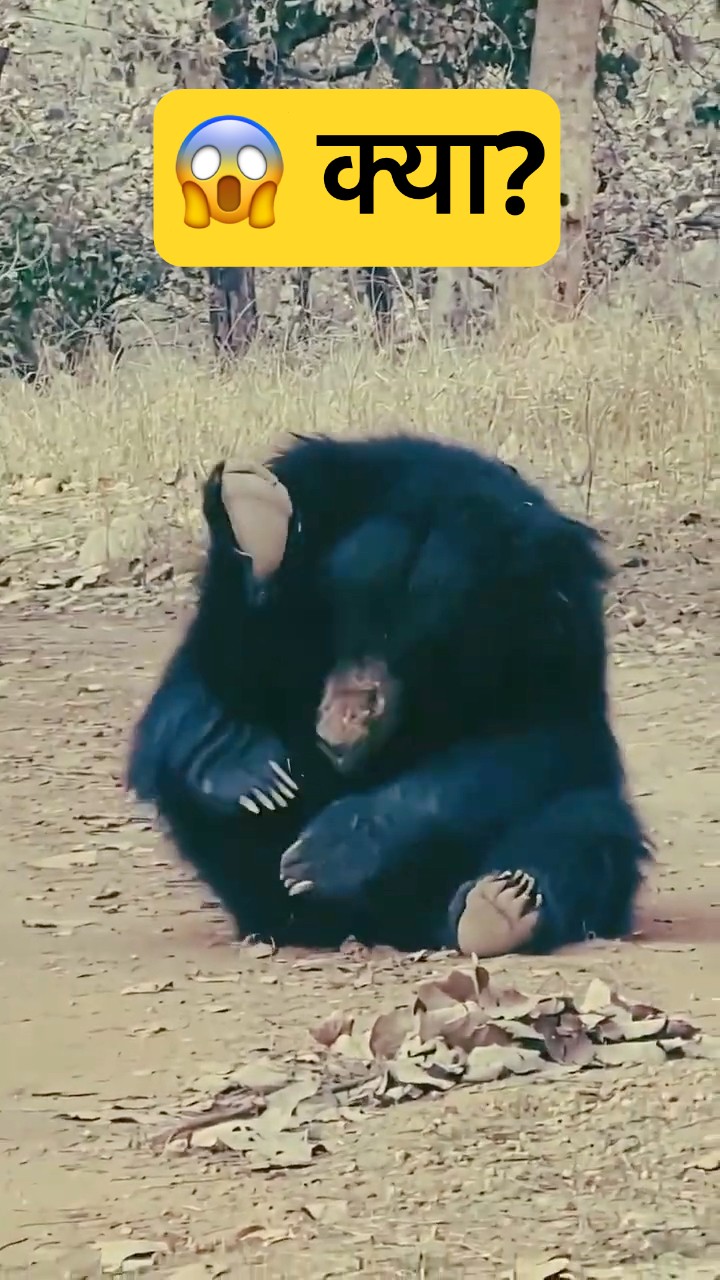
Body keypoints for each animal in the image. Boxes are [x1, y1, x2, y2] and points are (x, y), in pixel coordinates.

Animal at [126, 433, 650, 957]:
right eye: (342, 617)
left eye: (427, 649)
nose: (340, 731)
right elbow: (205, 687)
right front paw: (251, 773)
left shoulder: (558, 636)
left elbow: (543, 742)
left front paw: (324, 854)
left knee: (590, 824)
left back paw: (500, 906)